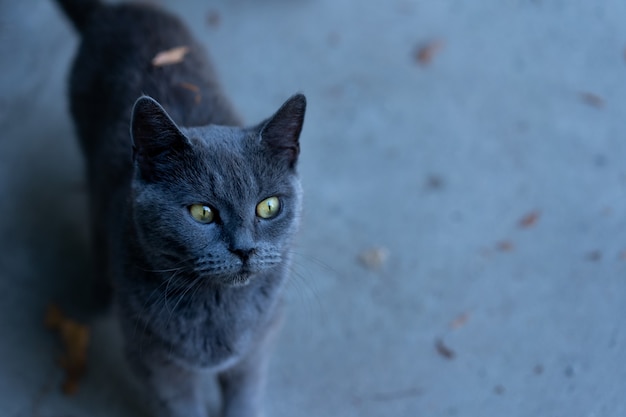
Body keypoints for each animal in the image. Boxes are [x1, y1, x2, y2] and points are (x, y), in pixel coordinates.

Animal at [53, 0, 304, 416]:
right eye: (202, 212)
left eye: (268, 206)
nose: (244, 249)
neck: (217, 308)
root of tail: (115, 11)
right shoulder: (156, 362)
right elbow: (182, 405)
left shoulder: (260, 341)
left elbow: (245, 394)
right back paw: (100, 291)